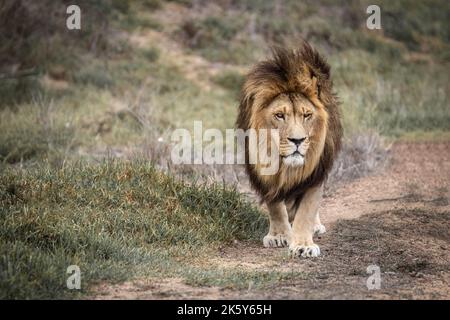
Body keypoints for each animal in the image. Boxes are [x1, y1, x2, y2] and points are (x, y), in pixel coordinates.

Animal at [237, 41, 342, 258]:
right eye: (279, 115)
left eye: (307, 115)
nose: (297, 140)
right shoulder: (265, 175)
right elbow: (276, 207)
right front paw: (278, 236)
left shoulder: (315, 173)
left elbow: (307, 209)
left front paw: (303, 245)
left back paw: (315, 227)